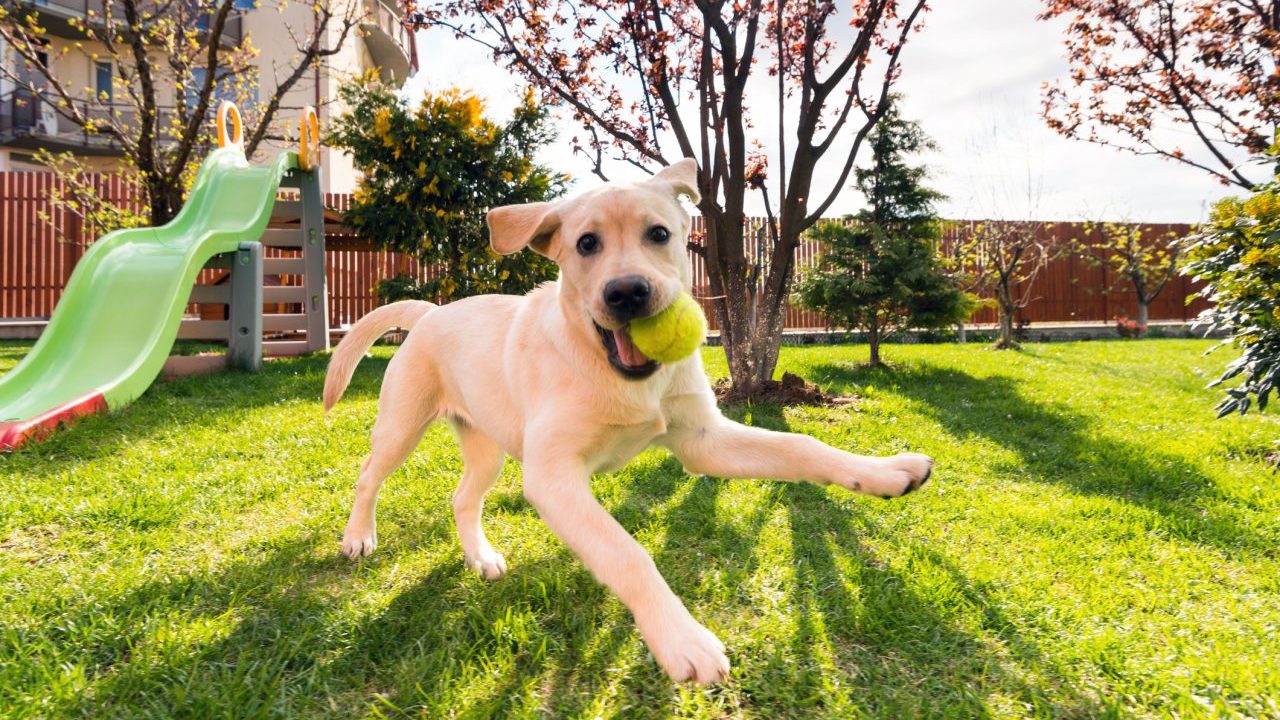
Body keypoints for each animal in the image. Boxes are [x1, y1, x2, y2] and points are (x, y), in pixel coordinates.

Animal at [325, 159, 936, 681]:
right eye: (586, 244)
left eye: (659, 235)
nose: (627, 293)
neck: (616, 373)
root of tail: (431, 312)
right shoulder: (553, 476)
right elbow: (628, 553)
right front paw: (682, 638)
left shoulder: (703, 440)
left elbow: (802, 446)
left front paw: (885, 472)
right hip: (402, 427)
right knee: (367, 476)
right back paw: (359, 538)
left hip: (488, 446)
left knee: (462, 497)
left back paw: (481, 558)